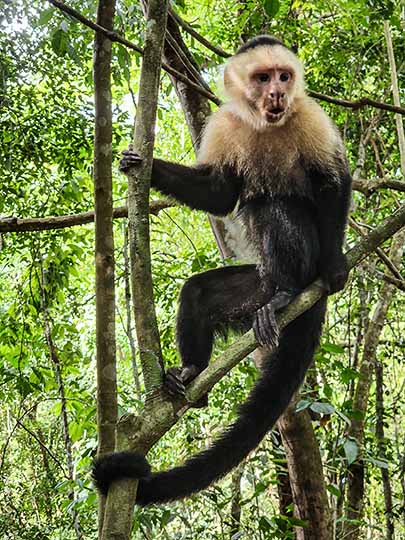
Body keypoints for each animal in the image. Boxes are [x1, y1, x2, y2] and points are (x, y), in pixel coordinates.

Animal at [91, 35, 350, 508]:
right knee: (200, 293)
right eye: (262, 78)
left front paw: (337, 265)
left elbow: (332, 181)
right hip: (253, 287)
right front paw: (144, 166)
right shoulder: (225, 123)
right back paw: (192, 374)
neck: (264, 124)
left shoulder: (310, 115)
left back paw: (291, 290)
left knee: (273, 205)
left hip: (301, 260)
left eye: (284, 76)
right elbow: (220, 191)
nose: (278, 93)